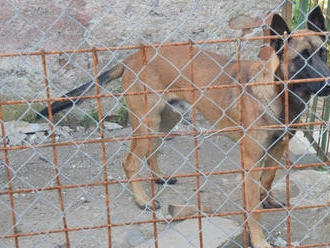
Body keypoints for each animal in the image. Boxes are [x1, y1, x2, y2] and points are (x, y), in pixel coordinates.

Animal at [40, 5, 328, 248]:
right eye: (301, 59)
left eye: (323, 53)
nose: (328, 83)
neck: (280, 94)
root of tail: (132, 57)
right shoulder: (250, 161)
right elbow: (253, 211)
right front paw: (259, 240)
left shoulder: (278, 146)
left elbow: (268, 178)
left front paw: (267, 199)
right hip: (147, 122)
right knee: (130, 162)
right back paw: (143, 201)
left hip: (164, 120)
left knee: (151, 152)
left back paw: (160, 177)